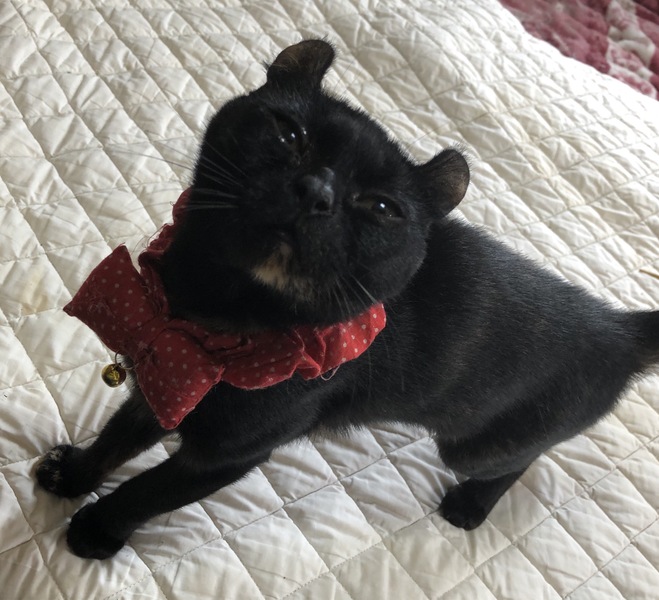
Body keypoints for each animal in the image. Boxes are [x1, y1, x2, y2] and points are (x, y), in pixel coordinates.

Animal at [36, 39, 659, 560]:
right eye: (290, 134)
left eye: (380, 208)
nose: (318, 191)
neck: (214, 312)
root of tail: (621, 327)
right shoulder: (162, 382)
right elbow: (117, 439)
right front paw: (73, 477)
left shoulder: (227, 455)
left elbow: (147, 491)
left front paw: (96, 531)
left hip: (474, 444)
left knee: (520, 461)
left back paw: (470, 506)